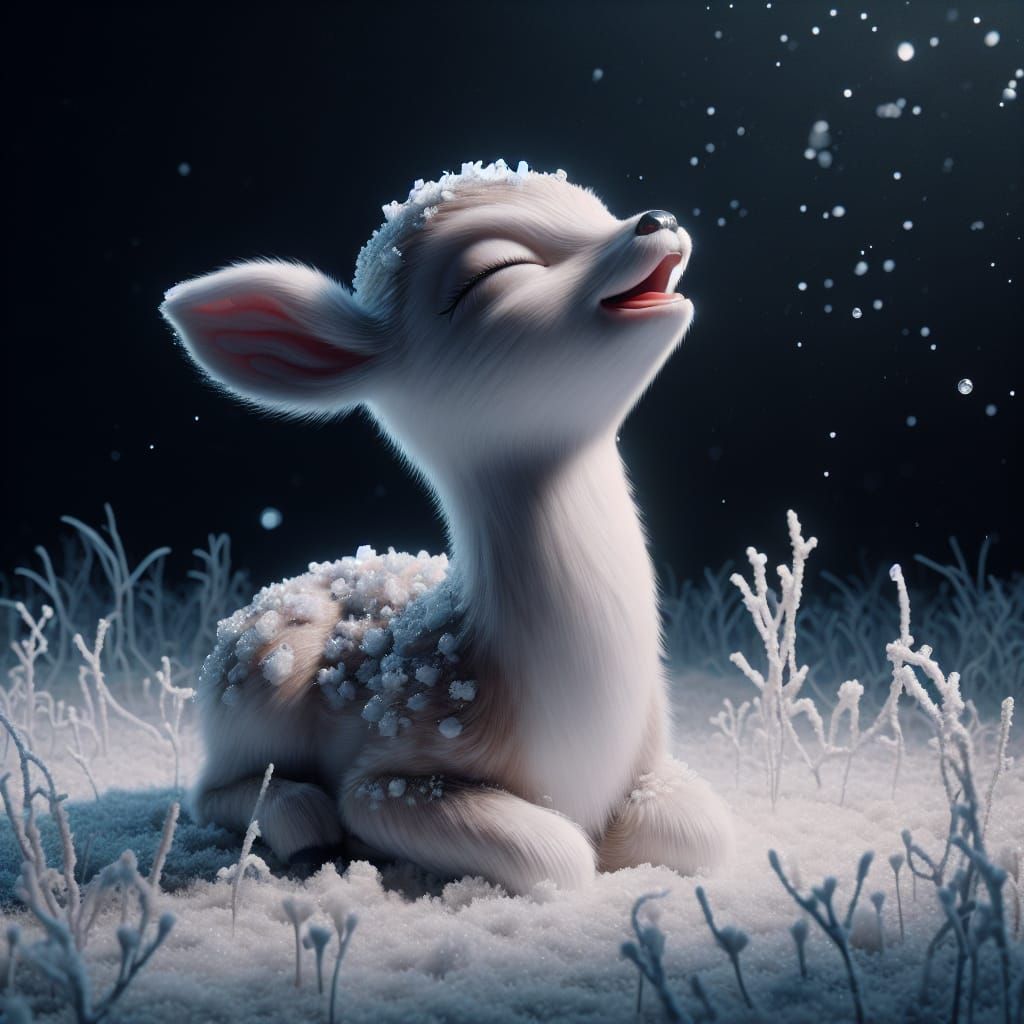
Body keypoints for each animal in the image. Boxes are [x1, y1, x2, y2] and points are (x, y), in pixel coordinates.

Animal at [161, 159, 734, 895]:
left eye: (597, 209)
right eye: (494, 273)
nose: (657, 219)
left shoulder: (650, 757)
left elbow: (700, 831)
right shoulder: (395, 761)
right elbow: (552, 857)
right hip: (256, 688)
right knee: (209, 790)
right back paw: (299, 818)